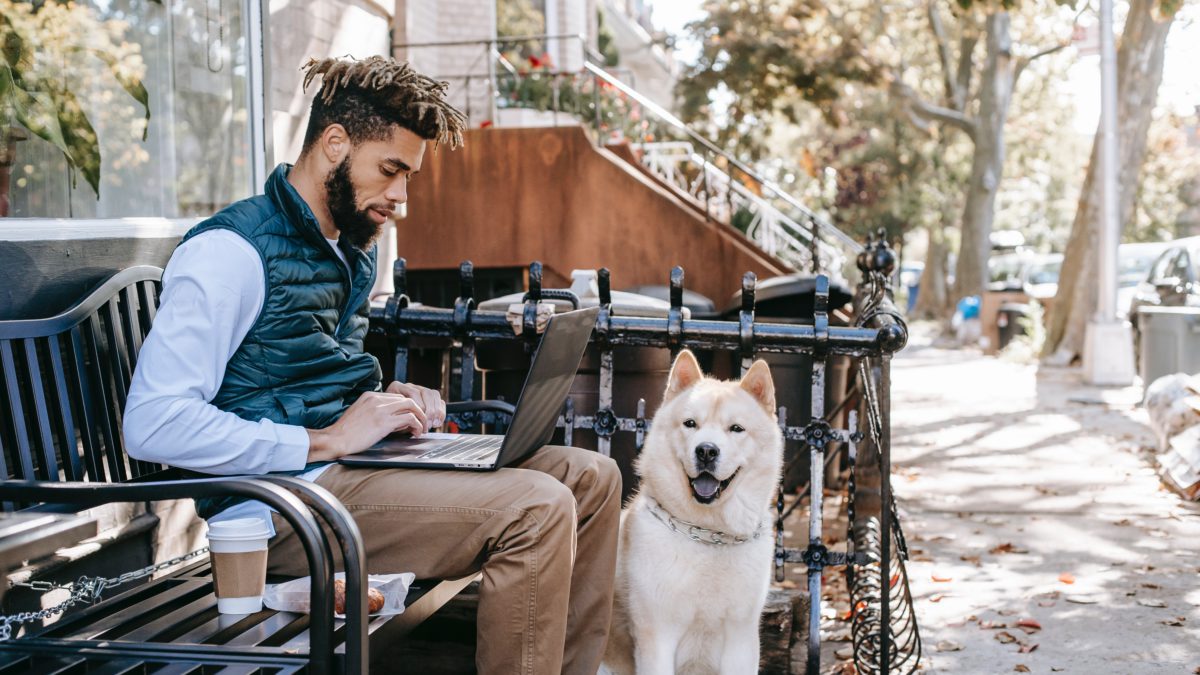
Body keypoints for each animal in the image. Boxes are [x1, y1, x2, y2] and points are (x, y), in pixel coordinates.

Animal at [600, 348, 787, 667]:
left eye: (736, 429)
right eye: (690, 424)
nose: (707, 451)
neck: (709, 533)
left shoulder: (741, 641)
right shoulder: (657, 638)